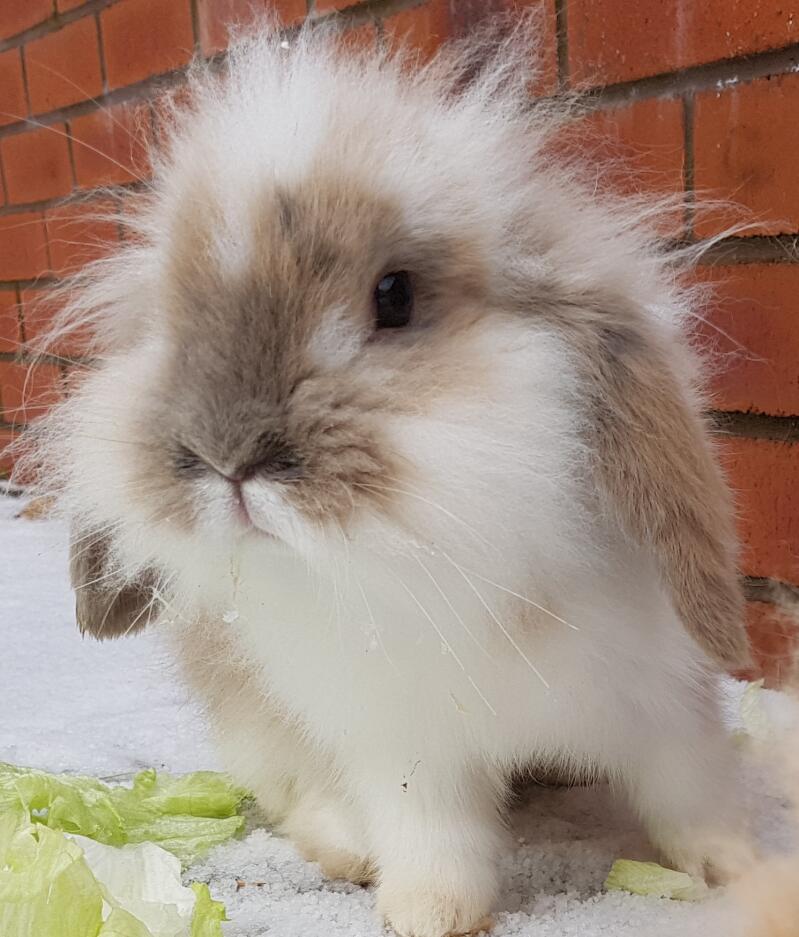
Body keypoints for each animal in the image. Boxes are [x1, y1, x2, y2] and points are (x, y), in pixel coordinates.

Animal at [22, 18, 753, 937]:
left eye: (395, 295)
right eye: (172, 313)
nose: (228, 457)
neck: (433, 570)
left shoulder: (664, 697)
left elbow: (690, 791)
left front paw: (736, 869)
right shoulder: (402, 739)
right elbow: (430, 830)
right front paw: (428, 911)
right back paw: (346, 848)